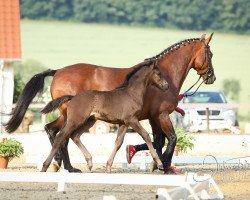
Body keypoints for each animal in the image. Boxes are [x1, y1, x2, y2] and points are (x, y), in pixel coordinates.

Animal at [40, 61, 168, 172]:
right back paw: (45, 166)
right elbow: (146, 136)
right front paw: (160, 164)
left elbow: (118, 142)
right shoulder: (132, 119)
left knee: (75, 136)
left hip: (89, 121)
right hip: (76, 120)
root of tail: (73, 97)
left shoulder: (123, 123)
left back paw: (89, 162)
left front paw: (108, 166)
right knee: (61, 137)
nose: (166, 86)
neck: (131, 94)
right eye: (158, 73)